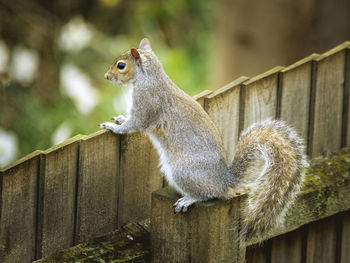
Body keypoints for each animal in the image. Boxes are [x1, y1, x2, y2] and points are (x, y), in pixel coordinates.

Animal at [100, 38, 308, 240]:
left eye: (121, 65)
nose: (107, 76)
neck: (149, 77)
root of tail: (224, 181)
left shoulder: (147, 105)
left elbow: (134, 124)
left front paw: (114, 127)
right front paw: (119, 118)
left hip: (182, 171)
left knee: (209, 194)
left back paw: (189, 199)